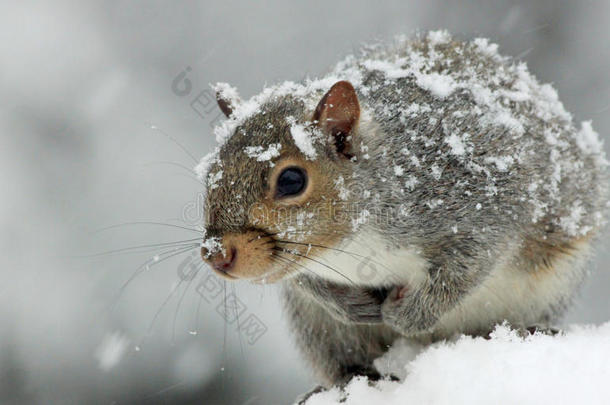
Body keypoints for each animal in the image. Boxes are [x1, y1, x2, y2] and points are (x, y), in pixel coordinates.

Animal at [197, 30, 604, 386]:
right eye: (210, 171)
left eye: (292, 181)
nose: (215, 255)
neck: (350, 245)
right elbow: (301, 278)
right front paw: (354, 306)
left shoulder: (482, 206)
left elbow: (465, 269)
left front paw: (404, 315)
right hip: (319, 329)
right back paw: (358, 376)